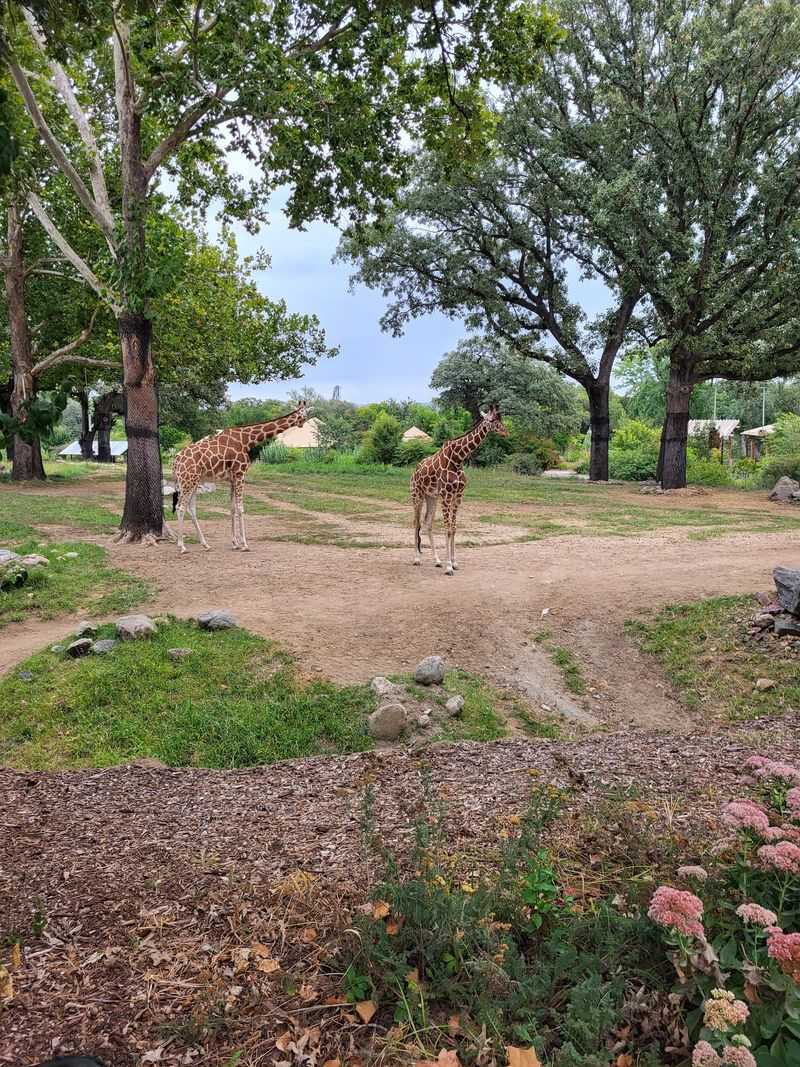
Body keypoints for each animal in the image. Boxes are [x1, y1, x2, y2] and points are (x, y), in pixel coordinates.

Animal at [168, 401, 308, 554]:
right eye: (305, 414)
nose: (303, 423)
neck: (247, 440)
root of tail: (176, 461)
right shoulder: (241, 473)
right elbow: (241, 508)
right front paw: (245, 544)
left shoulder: (232, 478)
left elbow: (232, 508)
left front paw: (235, 543)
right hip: (187, 480)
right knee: (181, 507)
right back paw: (182, 546)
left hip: (193, 481)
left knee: (191, 508)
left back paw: (205, 544)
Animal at [411, 406, 508, 575]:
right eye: (491, 420)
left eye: (500, 419)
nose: (505, 432)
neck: (458, 459)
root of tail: (415, 470)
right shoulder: (446, 495)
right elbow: (447, 529)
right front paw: (449, 566)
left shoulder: (458, 495)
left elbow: (454, 528)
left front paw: (454, 562)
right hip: (417, 495)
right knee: (416, 524)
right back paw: (417, 559)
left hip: (431, 497)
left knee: (427, 523)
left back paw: (437, 560)